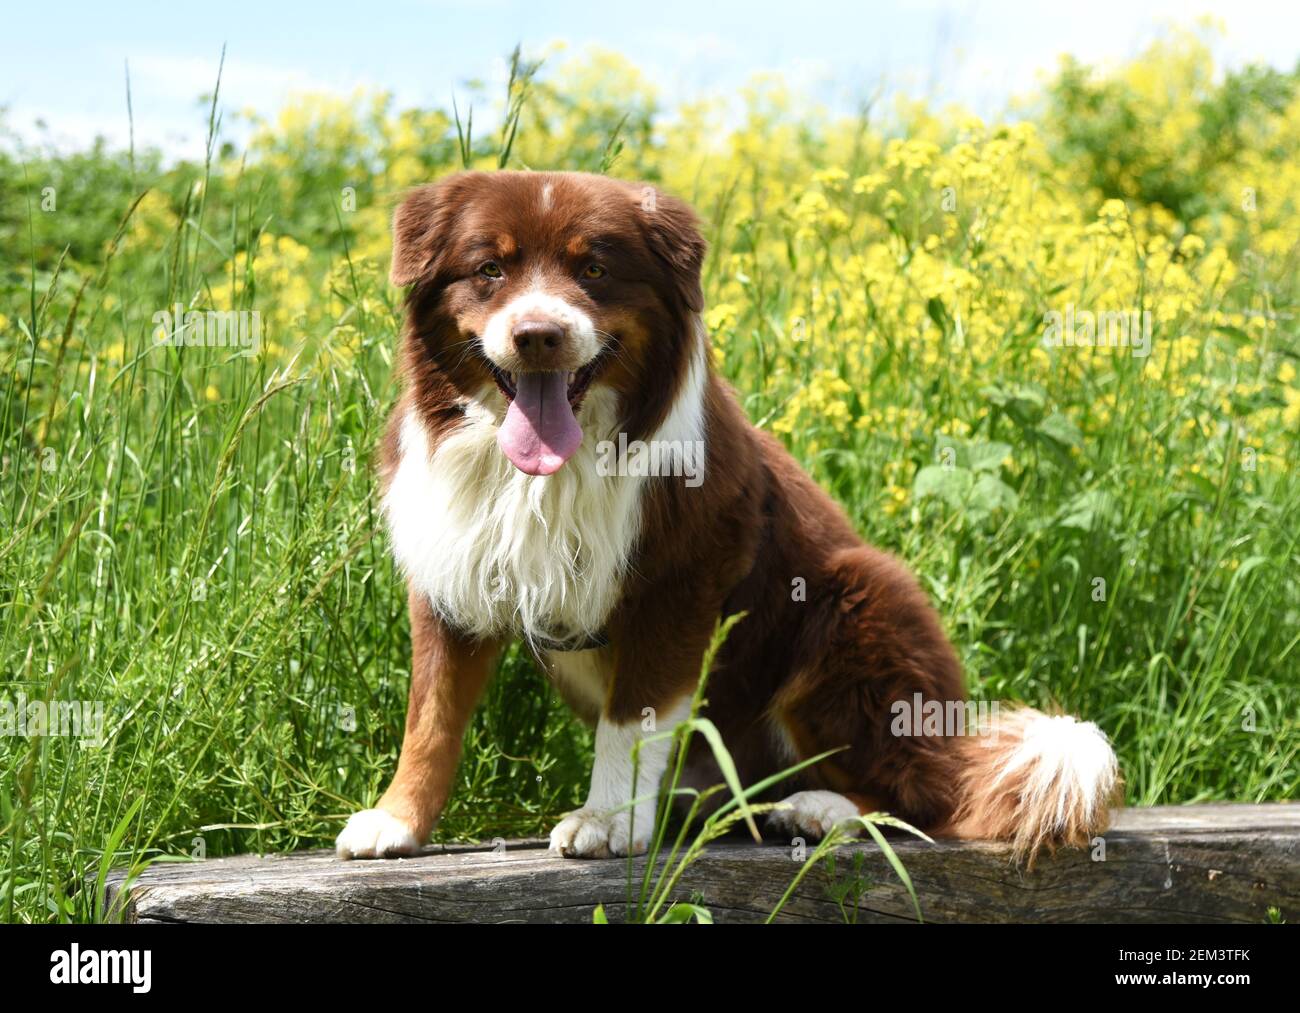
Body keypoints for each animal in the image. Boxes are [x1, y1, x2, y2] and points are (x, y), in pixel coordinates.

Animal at [335, 167, 1118, 863]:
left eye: (594, 269)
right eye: (489, 268)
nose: (537, 335)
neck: (551, 471)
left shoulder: (681, 580)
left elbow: (631, 719)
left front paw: (608, 821)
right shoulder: (452, 570)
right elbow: (431, 717)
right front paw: (397, 820)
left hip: (856, 602)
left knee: (926, 794)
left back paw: (815, 808)